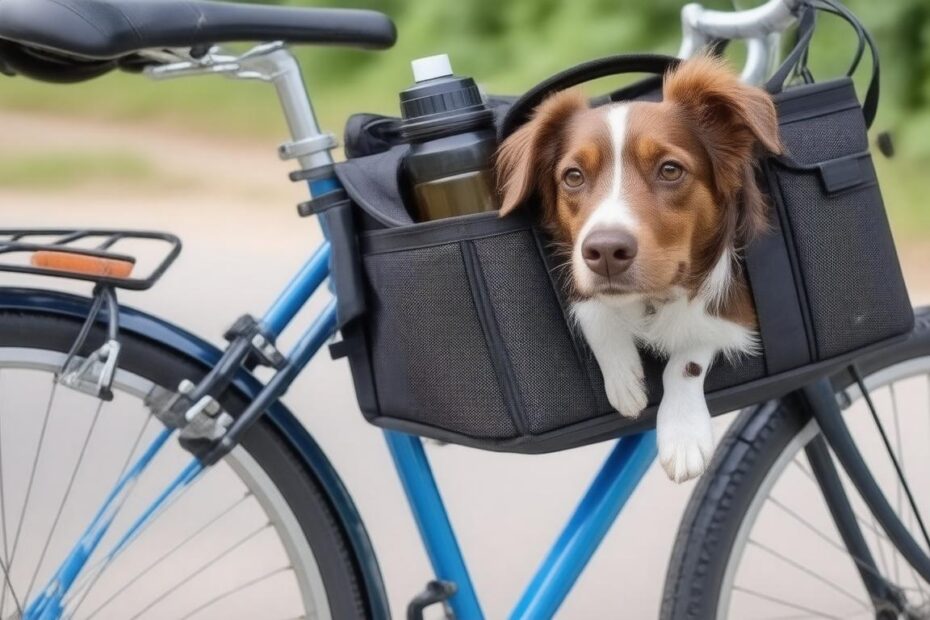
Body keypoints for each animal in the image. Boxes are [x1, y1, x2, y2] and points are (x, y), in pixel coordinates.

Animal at [496, 55, 780, 482]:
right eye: (573, 176)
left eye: (670, 169)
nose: (605, 251)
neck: (650, 299)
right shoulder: (578, 275)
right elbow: (593, 308)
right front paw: (623, 376)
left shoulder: (738, 311)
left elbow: (688, 353)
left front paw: (683, 432)